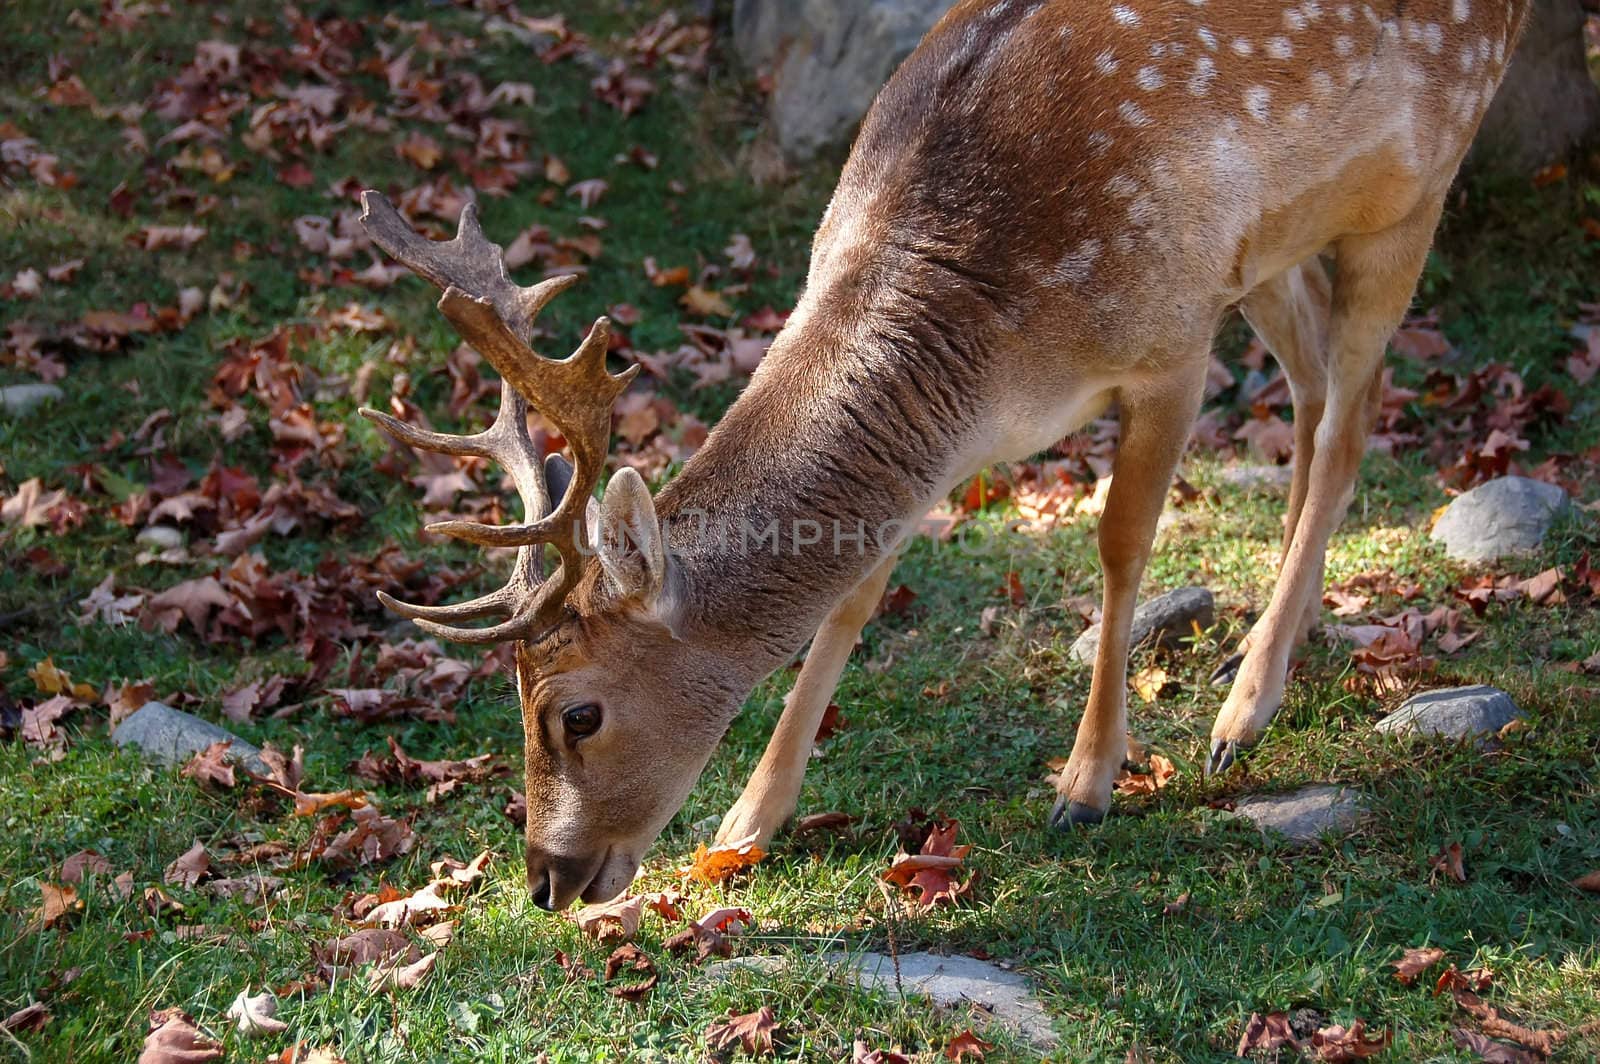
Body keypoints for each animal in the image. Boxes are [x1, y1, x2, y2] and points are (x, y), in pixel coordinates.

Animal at [356, 0, 1529, 902]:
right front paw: (745, 821)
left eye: (577, 711)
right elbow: (854, 594)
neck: (993, 352)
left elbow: (1119, 546)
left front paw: (1085, 784)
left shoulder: (1169, 343)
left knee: (1347, 416)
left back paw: (1243, 710)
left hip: (1418, 176)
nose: (545, 880)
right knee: (1318, 381)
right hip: (1270, 246)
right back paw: (1271, 649)